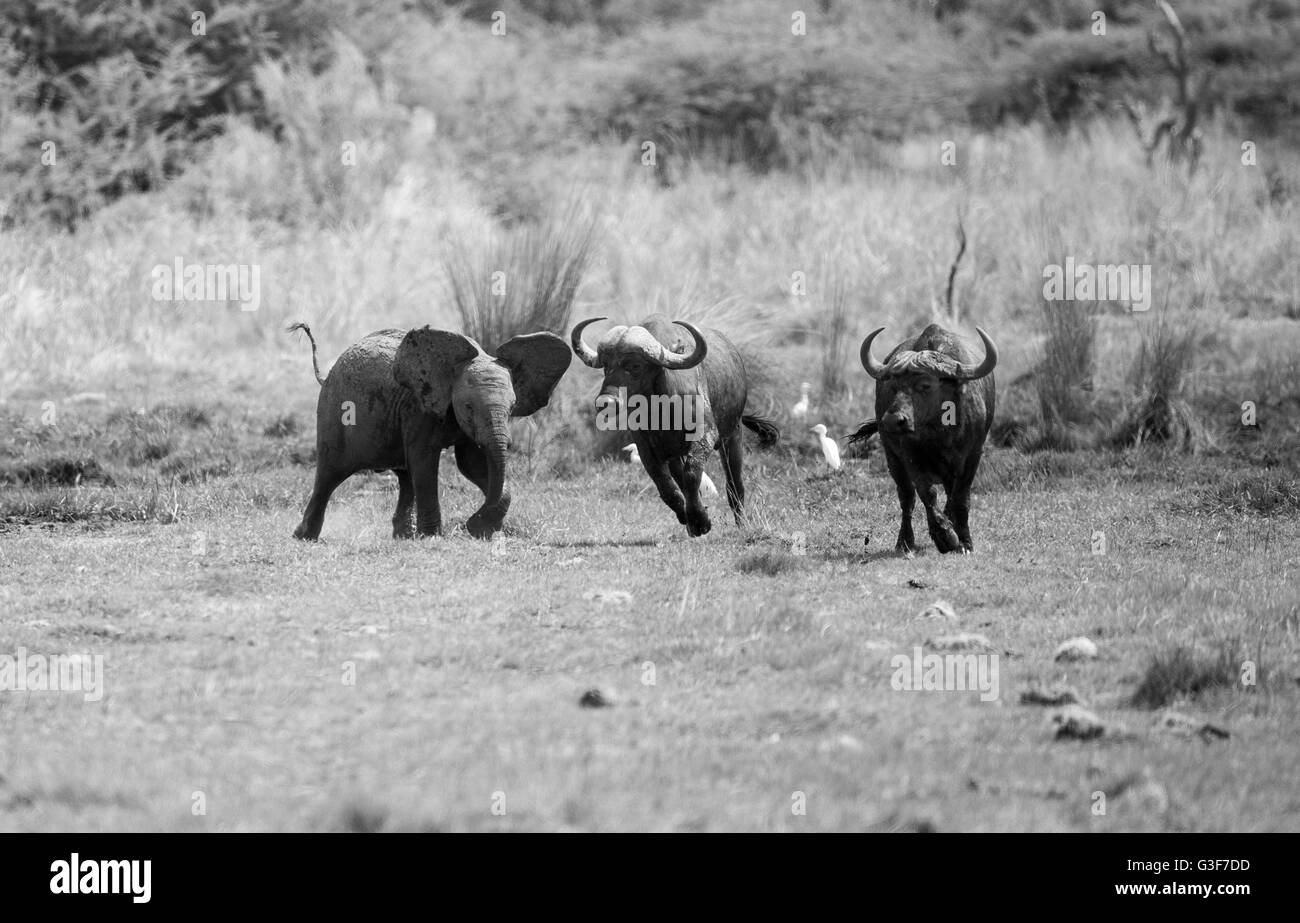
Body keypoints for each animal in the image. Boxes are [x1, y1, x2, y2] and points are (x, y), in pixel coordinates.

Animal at [292, 325, 572, 543]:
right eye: (468, 407)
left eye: (513, 407)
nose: (470, 525)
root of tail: (328, 373)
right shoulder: (419, 407)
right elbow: (425, 460)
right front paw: (434, 536)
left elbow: (471, 464)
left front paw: (479, 529)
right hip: (334, 413)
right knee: (330, 473)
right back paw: (304, 536)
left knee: (406, 478)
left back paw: (404, 536)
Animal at [857, 325, 998, 556]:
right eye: (893, 386)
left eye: (925, 385)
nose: (892, 421)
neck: (941, 434)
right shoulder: (910, 455)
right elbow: (927, 493)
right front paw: (946, 537)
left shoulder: (973, 455)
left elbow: (961, 498)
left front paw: (965, 541)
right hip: (892, 457)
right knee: (907, 497)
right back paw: (904, 542)